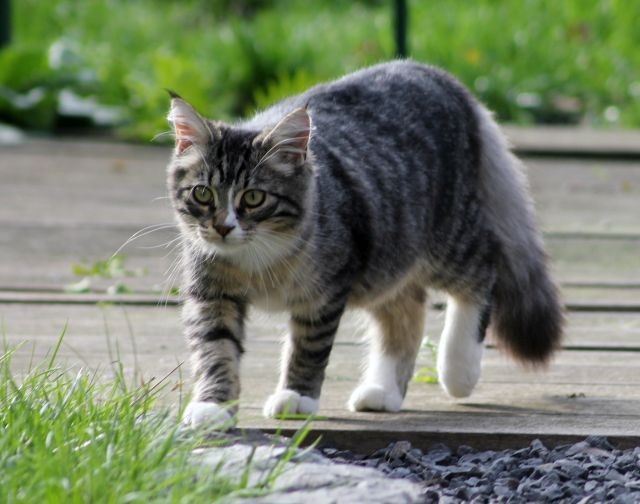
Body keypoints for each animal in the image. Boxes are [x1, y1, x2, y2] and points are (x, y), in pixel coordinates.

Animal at [166, 61, 564, 428]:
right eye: (203, 194)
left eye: (253, 198)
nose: (222, 227)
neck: (258, 259)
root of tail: (434, 73)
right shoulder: (212, 294)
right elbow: (215, 351)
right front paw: (213, 406)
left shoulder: (324, 293)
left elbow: (308, 348)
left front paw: (297, 397)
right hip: (386, 266)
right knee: (406, 315)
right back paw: (383, 391)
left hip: (447, 242)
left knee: (483, 271)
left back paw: (458, 369)